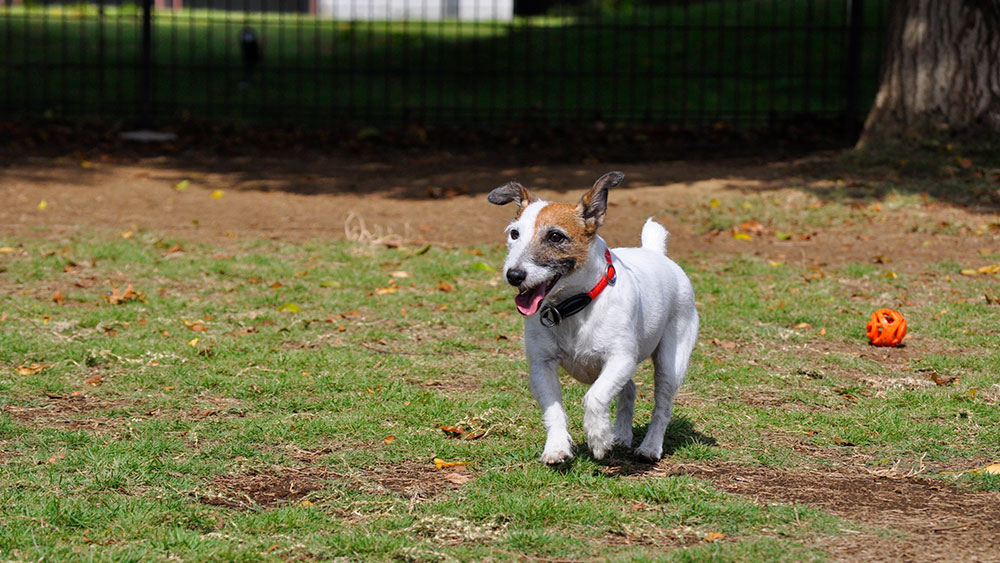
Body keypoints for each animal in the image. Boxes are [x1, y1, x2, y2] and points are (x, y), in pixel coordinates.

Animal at [488, 174, 700, 464]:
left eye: (555, 236)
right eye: (514, 233)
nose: (514, 275)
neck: (573, 306)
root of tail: (655, 252)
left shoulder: (621, 358)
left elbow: (595, 396)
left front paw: (598, 437)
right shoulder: (542, 365)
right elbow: (553, 409)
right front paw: (557, 446)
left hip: (671, 360)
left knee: (662, 405)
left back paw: (649, 446)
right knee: (629, 389)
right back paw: (621, 434)